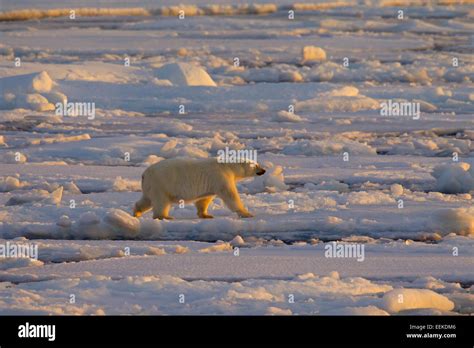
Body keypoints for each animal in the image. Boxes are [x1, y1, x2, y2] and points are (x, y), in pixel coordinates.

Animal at [134, 158, 266, 220]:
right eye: (256, 165)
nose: (264, 170)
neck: (228, 166)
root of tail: (145, 174)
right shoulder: (221, 176)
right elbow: (230, 195)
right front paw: (247, 213)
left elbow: (204, 199)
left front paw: (206, 215)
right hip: (162, 184)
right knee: (161, 202)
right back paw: (165, 216)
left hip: (151, 186)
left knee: (146, 200)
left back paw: (137, 212)